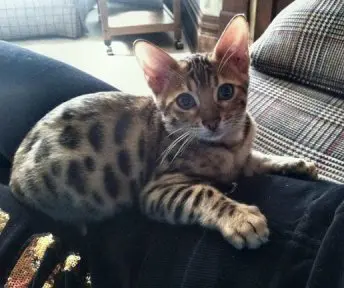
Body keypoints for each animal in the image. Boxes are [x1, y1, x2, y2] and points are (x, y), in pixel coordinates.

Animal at [10, 15, 318, 250]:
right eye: (186, 101)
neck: (229, 146)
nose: (212, 122)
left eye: (225, 92)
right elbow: (204, 193)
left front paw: (295, 163)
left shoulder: (242, 157)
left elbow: (259, 158)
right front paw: (240, 218)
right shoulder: (157, 189)